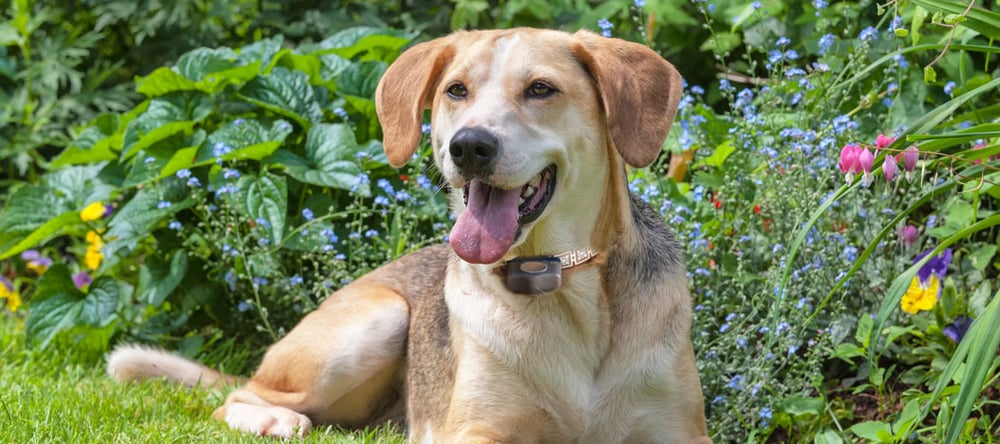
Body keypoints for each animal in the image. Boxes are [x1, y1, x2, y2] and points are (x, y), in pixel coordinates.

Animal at [109, 28, 712, 444]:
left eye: (541, 89)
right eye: (456, 91)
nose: (469, 146)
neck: (559, 277)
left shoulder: (681, 432)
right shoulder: (476, 431)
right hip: (374, 323)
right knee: (238, 395)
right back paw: (276, 418)